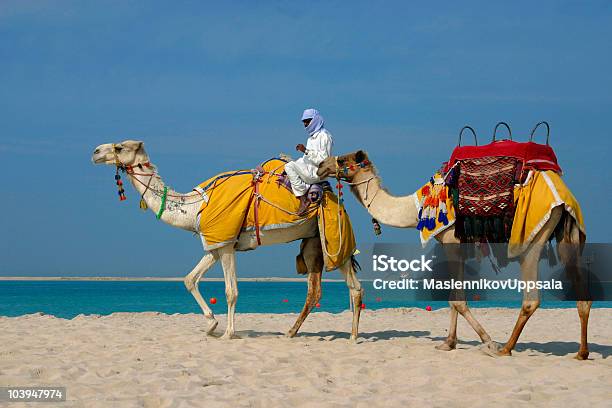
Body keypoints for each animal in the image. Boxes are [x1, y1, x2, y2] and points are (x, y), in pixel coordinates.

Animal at [88, 142, 360, 340]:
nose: (95, 152)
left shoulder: (227, 244)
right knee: (315, 291)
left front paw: (228, 333)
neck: (195, 208)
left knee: (353, 286)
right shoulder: (215, 244)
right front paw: (211, 325)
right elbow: (190, 279)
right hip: (314, 241)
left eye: (120, 147)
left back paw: (353, 336)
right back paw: (292, 332)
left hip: (334, 236)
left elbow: (231, 291)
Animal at [318, 151, 592, 358]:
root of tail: (562, 192)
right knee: (583, 294)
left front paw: (488, 341)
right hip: (567, 234)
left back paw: (504, 348)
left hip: (531, 236)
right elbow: (452, 298)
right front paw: (448, 343)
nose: (321, 166)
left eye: (341, 159)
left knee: (531, 298)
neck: (416, 207)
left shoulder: (451, 239)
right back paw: (582, 352)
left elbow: (458, 300)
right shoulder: (456, 245)